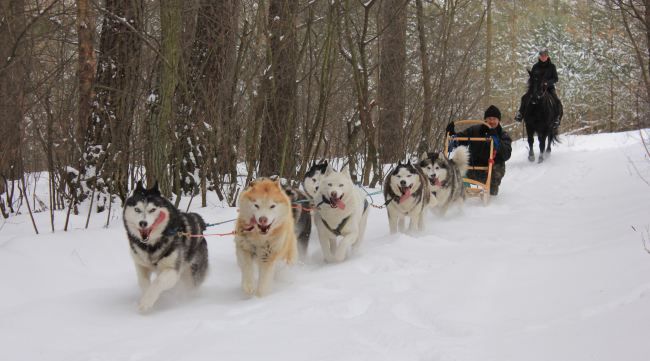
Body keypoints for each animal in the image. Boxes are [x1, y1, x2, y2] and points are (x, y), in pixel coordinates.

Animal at [123, 181, 208, 310]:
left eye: (152, 209)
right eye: (137, 209)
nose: (143, 223)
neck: (151, 246)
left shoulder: (172, 270)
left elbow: (158, 282)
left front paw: (146, 302)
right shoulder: (141, 265)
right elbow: (143, 282)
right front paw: (147, 296)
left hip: (193, 272)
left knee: (192, 284)